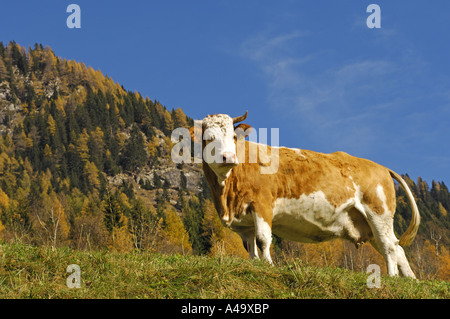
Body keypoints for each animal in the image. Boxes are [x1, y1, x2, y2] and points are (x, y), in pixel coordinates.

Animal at [189, 111, 418, 278]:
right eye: (208, 138)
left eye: (234, 137)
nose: (228, 157)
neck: (227, 196)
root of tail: (381, 167)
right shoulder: (244, 224)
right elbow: (251, 248)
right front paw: (256, 266)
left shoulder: (262, 204)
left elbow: (263, 240)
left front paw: (269, 266)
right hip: (369, 224)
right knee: (397, 248)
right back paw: (410, 280)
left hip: (378, 212)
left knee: (389, 247)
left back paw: (391, 278)